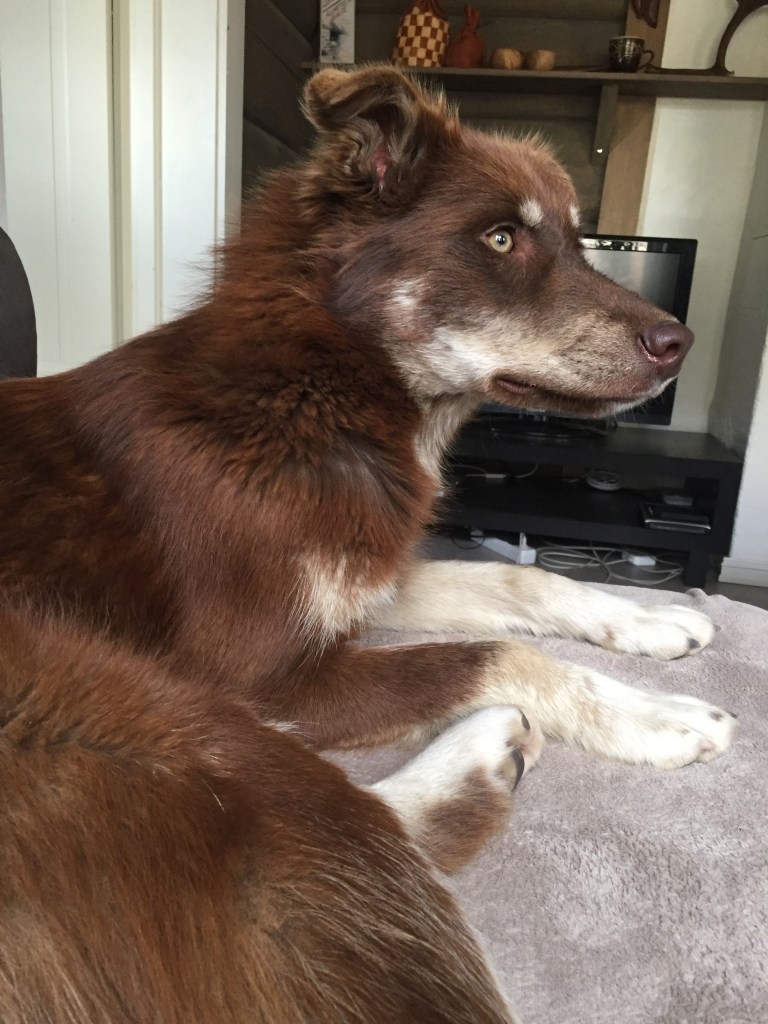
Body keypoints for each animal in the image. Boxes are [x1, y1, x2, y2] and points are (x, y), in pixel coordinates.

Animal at [0, 65, 735, 1023]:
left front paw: (650, 620)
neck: (312, 394)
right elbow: (495, 653)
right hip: (123, 691)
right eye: (501, 237)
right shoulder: (266, 677)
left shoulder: (369, 577)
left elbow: (522, 586)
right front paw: (651, 715)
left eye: (580, 243)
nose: (679, 342)